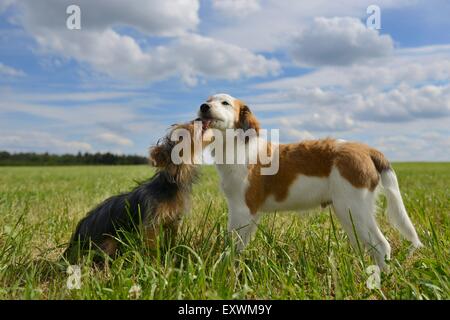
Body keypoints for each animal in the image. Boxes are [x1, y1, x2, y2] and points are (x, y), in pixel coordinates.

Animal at [63, 120, 207, 262]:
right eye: (182, 133)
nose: (199, 119)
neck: (169, 185)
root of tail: (77, 235)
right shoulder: (151, 224)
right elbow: (152, 248)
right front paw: (154, 263)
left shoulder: (173, 222)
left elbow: (171, 243)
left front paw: (172, 257)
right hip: (107, 243)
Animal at [198, 93, 422, 270]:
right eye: (208, 100)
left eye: (225, 103)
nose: (203, 106)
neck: (236, 146)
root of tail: (365, 149)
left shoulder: (242, 209)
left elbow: (233, 243)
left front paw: (226, 268)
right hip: (349, 214)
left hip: (354, 209)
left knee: (382, 245)